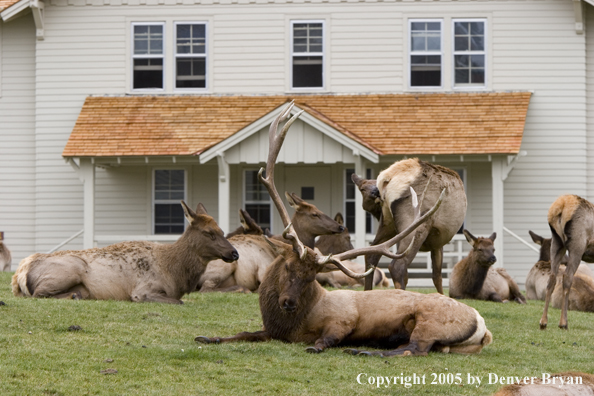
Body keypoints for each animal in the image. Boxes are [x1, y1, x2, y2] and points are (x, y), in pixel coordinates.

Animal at [12, 201, 237, 304]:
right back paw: (75, 295)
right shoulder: (143, 290)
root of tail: (19, 274)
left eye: (222, 230)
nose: (235, 253)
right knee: (39, 293)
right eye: (208, 233)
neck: (174, 273)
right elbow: (179, 301)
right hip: (71, 269)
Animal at [350, 159, 464, 294]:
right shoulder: (438, 241)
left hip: (388, 224)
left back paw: (368, 292)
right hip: (416, 224)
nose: (374, 194)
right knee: (397, 265)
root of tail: (387, 178)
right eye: (362, 190)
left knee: (371, 254)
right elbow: (437, 276)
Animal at [540, 193, 594, 330]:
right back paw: (563, 323)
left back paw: (543, 322)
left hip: (556, 243)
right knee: (567, 276)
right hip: (577, 245)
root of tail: (562, 205)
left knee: (552, 277)